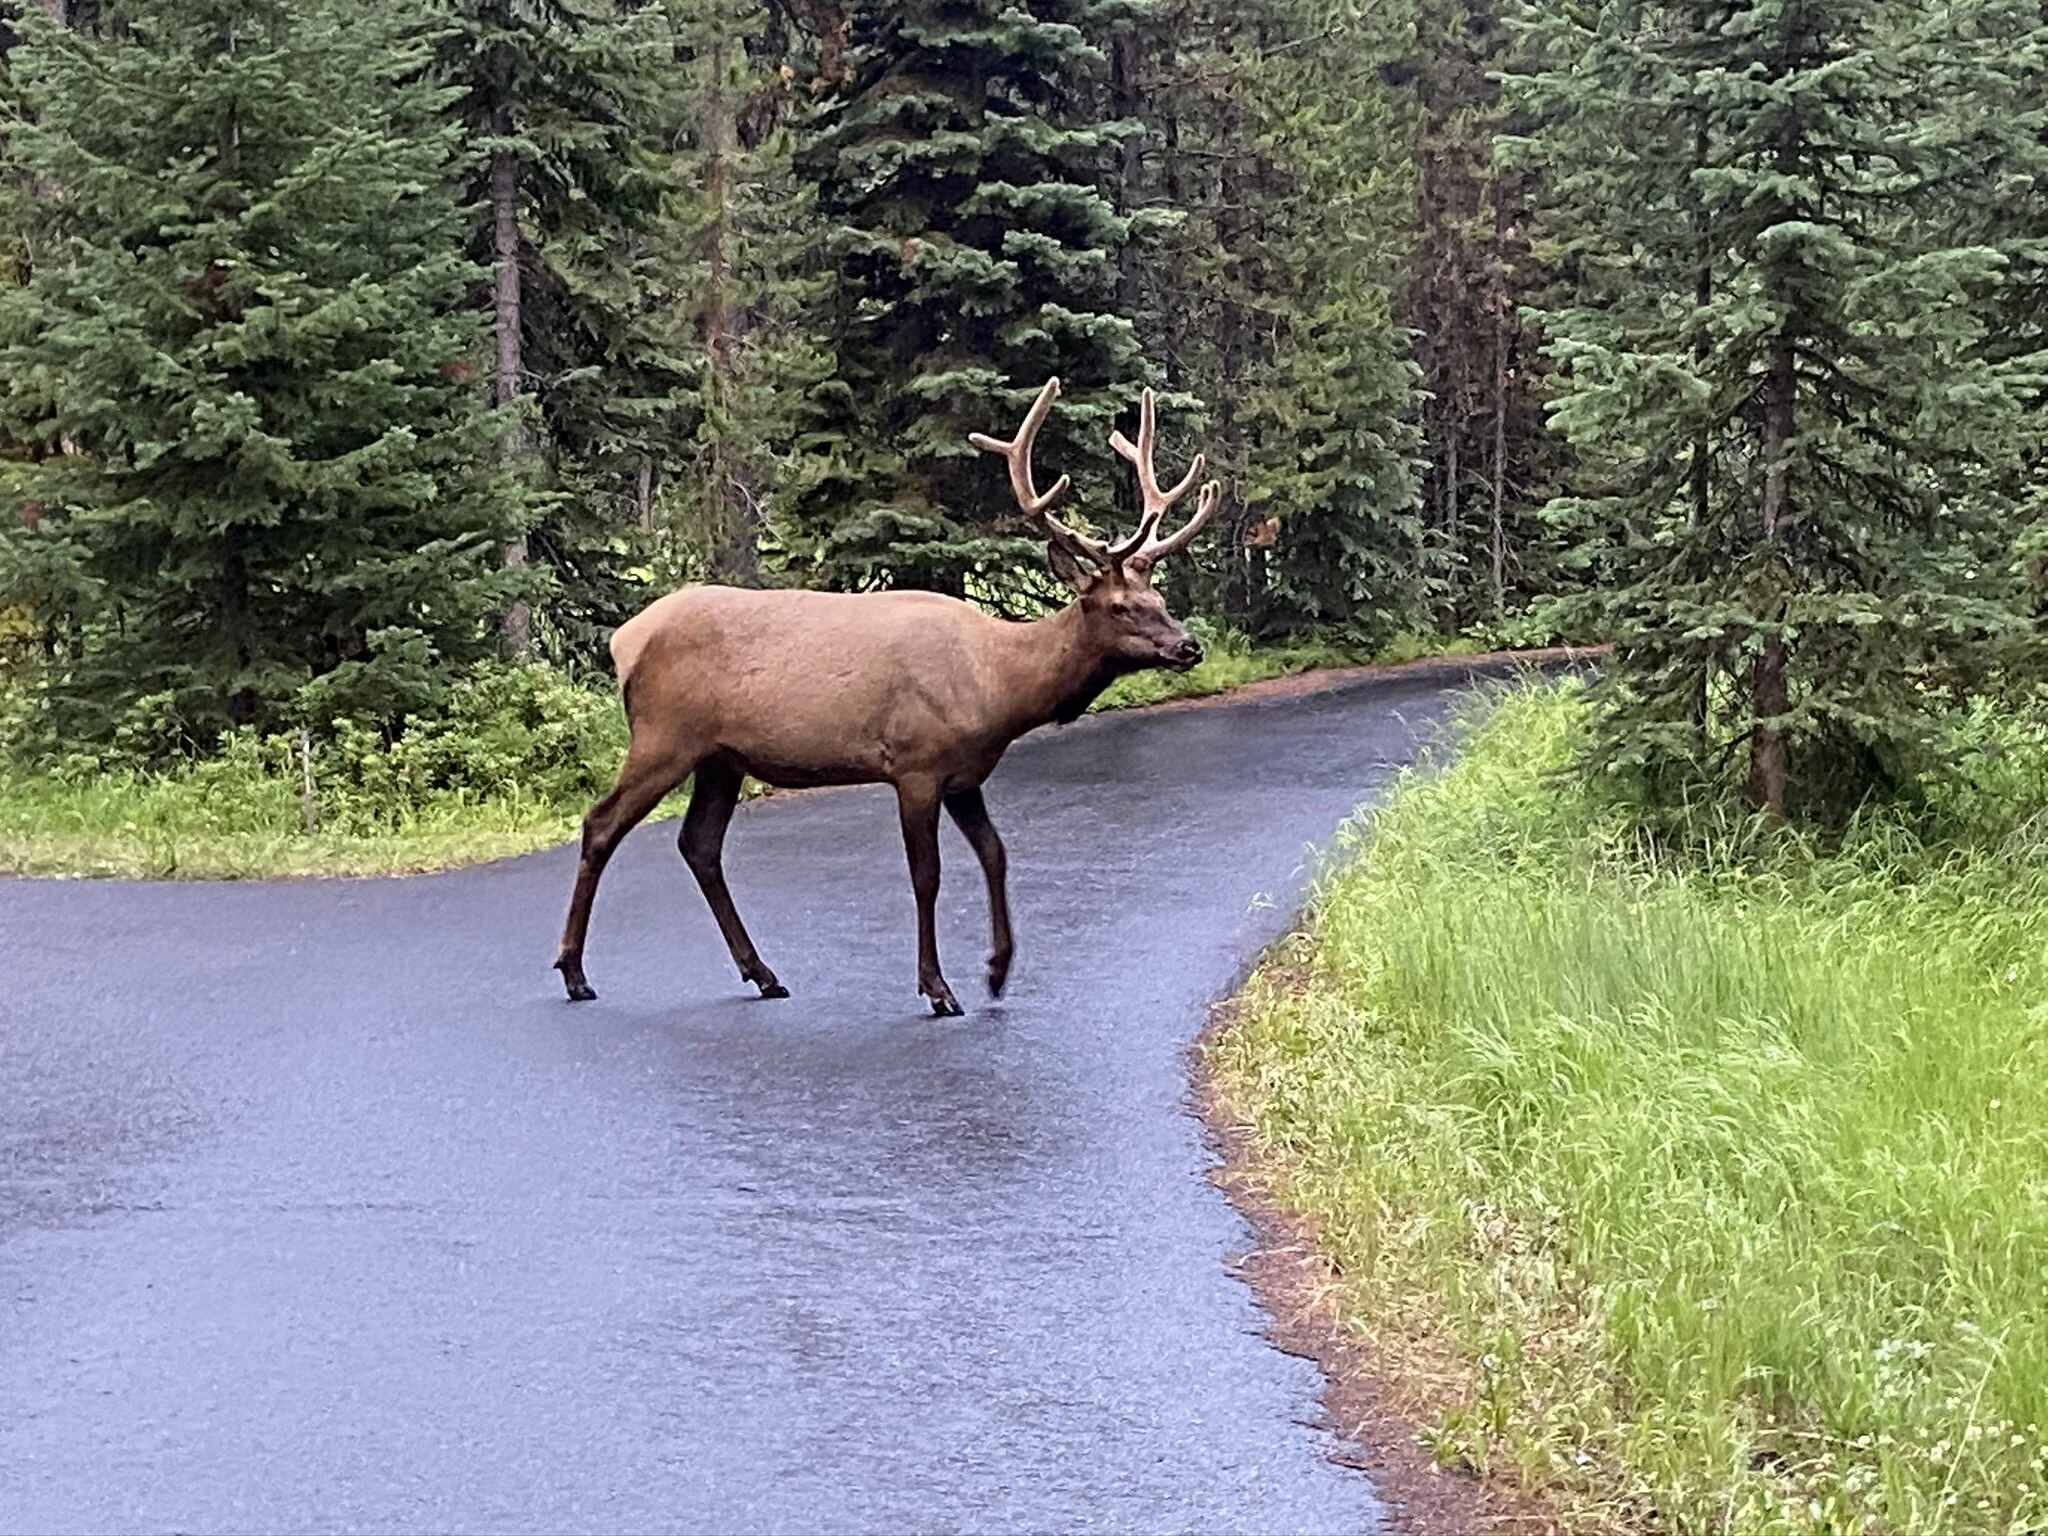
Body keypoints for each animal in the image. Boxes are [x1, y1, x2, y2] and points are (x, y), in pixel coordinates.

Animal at [553, 377, 1220, 1015]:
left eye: (1159, 599)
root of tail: (624, 641)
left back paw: (762, 973)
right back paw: (575, 972)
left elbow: (997, 855)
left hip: (720, 757)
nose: (1188, 646)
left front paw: (998, 970)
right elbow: (927, 876)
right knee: (601, 823)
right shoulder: (916, 764)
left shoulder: (965, 775)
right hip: (665, 735)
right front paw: (938, 987)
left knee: (700, 844)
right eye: (1120, 607)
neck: (1000, 688)